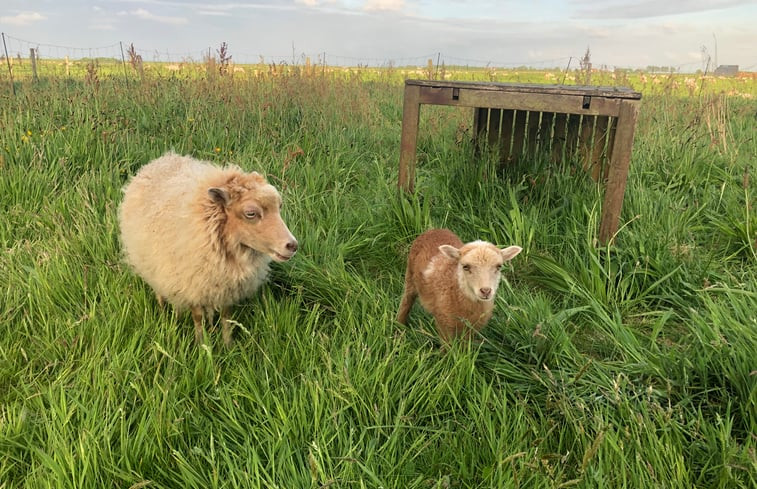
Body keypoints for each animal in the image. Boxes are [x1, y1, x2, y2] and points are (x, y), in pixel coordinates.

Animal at [116, 151, 296, 346]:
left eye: (279, 207)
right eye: (251, 213)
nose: (292, 245)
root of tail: (162, 159)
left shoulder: (225, 285)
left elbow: (226, 316)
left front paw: (228, 345)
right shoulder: (193, 283)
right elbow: (198, 317)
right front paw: (202, 345)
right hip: (153, 267)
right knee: (160, 292)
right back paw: (164, 315)